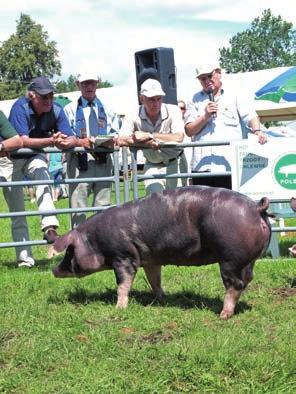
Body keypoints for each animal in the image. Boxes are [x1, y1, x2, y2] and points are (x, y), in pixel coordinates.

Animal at [52, 186, 270, 318]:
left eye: (69, 252)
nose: (54, 270)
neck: (94, 241)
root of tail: (256, 207)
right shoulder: (150, 259)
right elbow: (154, 280)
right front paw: (162, 299)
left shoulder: (123, 257)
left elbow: (123, 284)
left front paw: (119, 308)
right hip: (248, 260)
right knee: (247, 279)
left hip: (230, 258)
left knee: (235, 284)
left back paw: (223, 315)